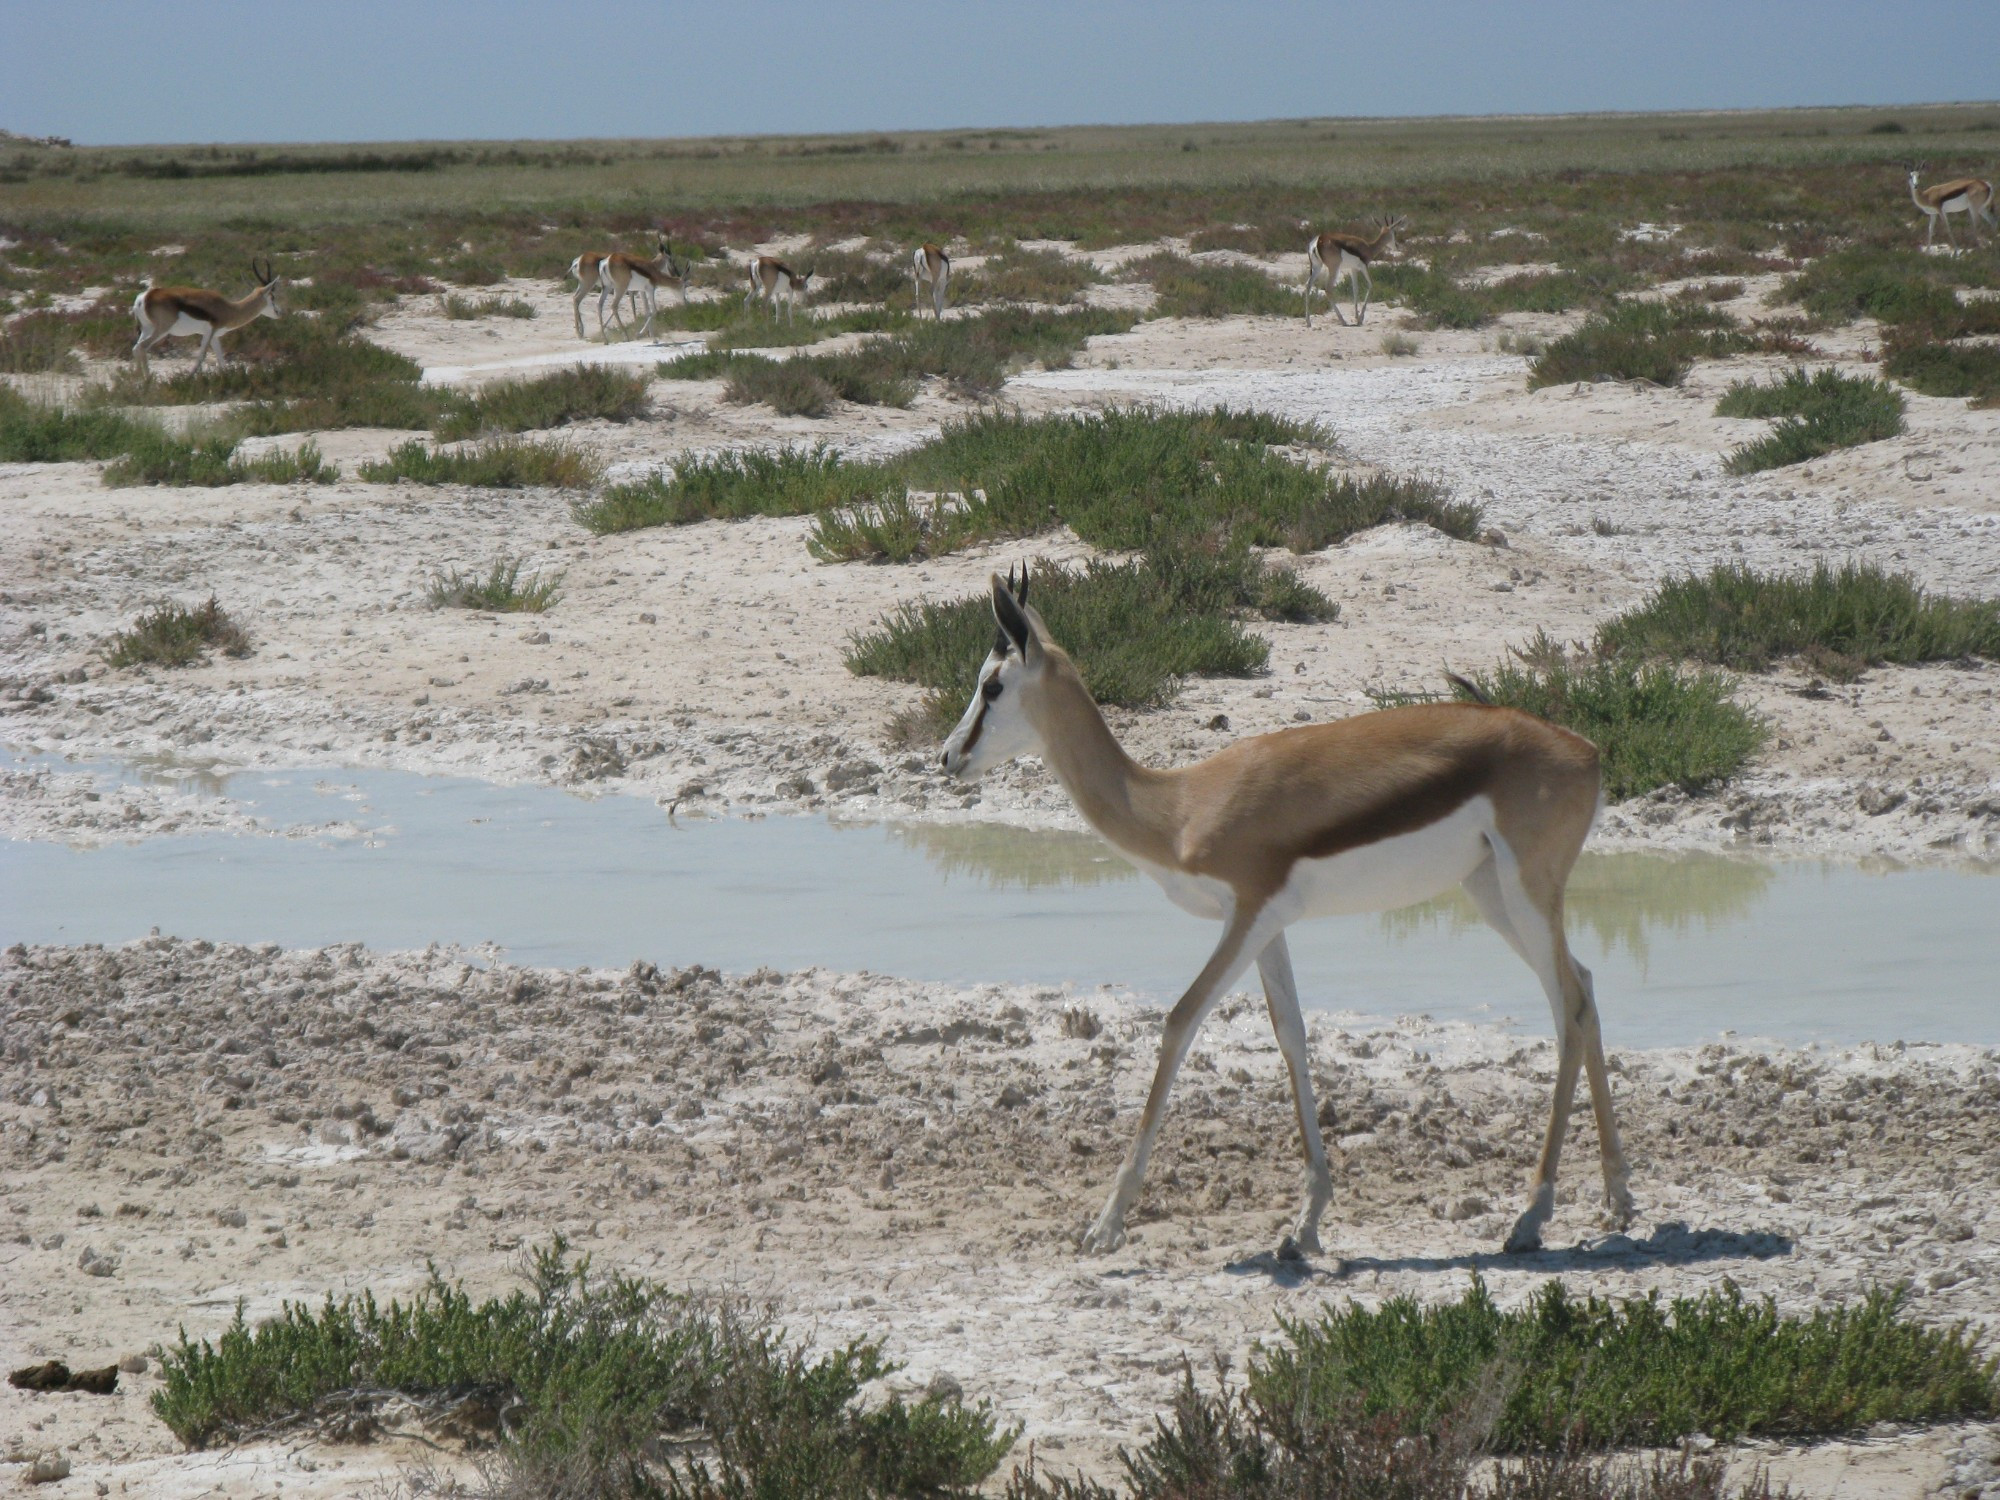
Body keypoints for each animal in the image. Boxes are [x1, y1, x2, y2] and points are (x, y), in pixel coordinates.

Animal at [131, 258, 284, 378]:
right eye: (272, 296)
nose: (279, 312)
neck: (229, 309)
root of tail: (144, 297)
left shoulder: (214, 336)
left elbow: (221, 359)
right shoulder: (210, 331)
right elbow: (201, 356)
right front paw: (188, 378)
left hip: (147, 329)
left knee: (135, 347)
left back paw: (136, 378)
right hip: (162, 330)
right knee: (142, 347)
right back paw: (148, 380)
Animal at [944, 568, 1632, 1264]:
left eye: (991, 684)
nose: (947, 757)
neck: (1180, 806)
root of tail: (1589, 752)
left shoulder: (1247, 914)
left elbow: (1180, 1022)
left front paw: (1105, 1226)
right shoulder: (1269, 925)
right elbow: (1291, 1035)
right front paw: (1305, 1225)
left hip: (1525, 892)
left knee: (1571, 1005)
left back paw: (1532, 1216)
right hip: (1492, 893)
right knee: (1582, 988)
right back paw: (1618, 1198)